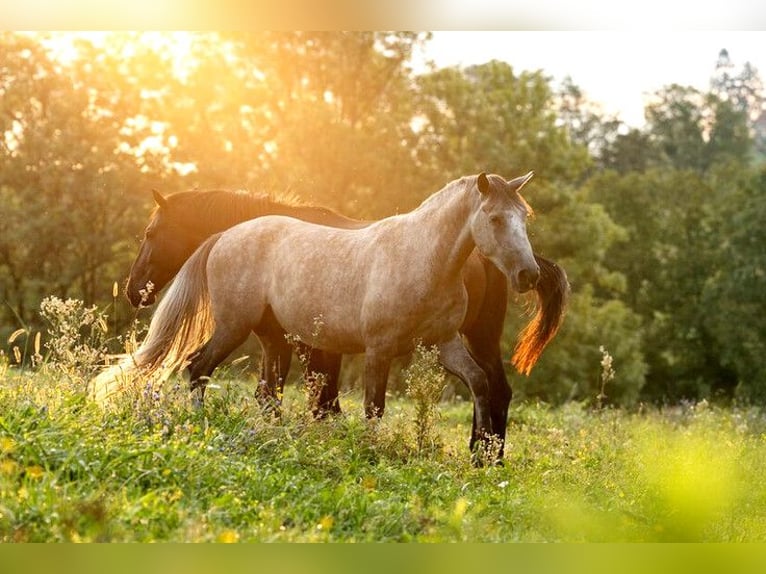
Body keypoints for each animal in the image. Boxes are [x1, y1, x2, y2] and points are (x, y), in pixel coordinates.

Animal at [103, 174, 564, 460]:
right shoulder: (373, 350)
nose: (527, 274)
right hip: (234, 327)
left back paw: (489, 459)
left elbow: (478, 386)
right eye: (495, 218)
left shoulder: (442, 345)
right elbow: (360, 407)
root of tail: (227, 236)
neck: (423, 257)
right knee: (197, 367)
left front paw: (479, 455)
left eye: (522, 218)